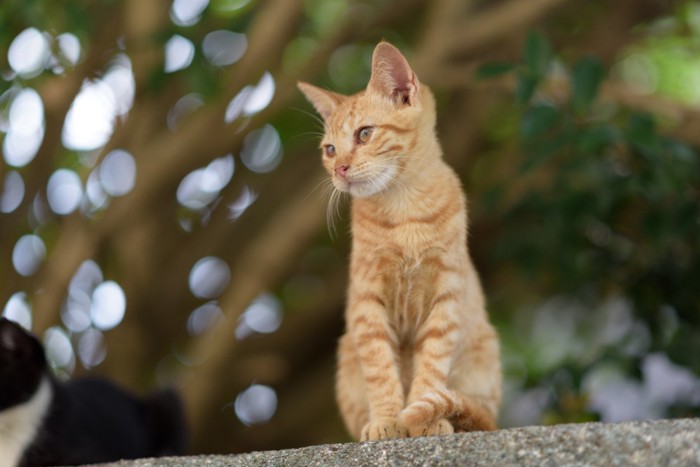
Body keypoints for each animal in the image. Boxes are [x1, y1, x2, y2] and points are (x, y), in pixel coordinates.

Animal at [298, 42, 500, 440]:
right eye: (329, 149)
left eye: (364, 134)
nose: (339, 169)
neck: (405, 209)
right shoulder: (367, 303)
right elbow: (380, 368)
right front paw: (387, 420)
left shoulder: (446, 297)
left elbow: (432, 364)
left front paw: (424, 418)